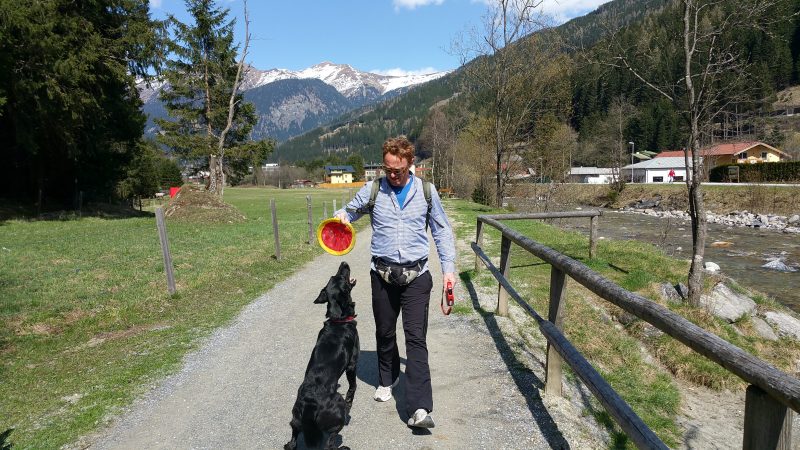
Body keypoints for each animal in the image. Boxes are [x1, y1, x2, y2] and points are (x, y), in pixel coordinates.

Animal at [284, 262, 360, 448]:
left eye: (334, 276)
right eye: (341, 277)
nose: (344, 263)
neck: (338, 320)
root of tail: (310, 404)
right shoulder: (352, 363)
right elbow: (353, 387)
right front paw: (350, 401)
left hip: (295, 420)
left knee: (293, 440)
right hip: (337, 414)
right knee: (329, 443)